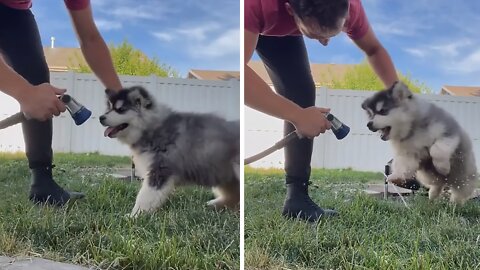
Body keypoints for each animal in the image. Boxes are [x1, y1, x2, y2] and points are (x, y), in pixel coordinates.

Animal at [99, 85, 240, 216]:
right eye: (109, 108)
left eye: (120, 110)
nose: (101, 118)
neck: (152, 127)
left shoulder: (160, 170)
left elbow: (144, 197)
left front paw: (134, 215)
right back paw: (215, 205)